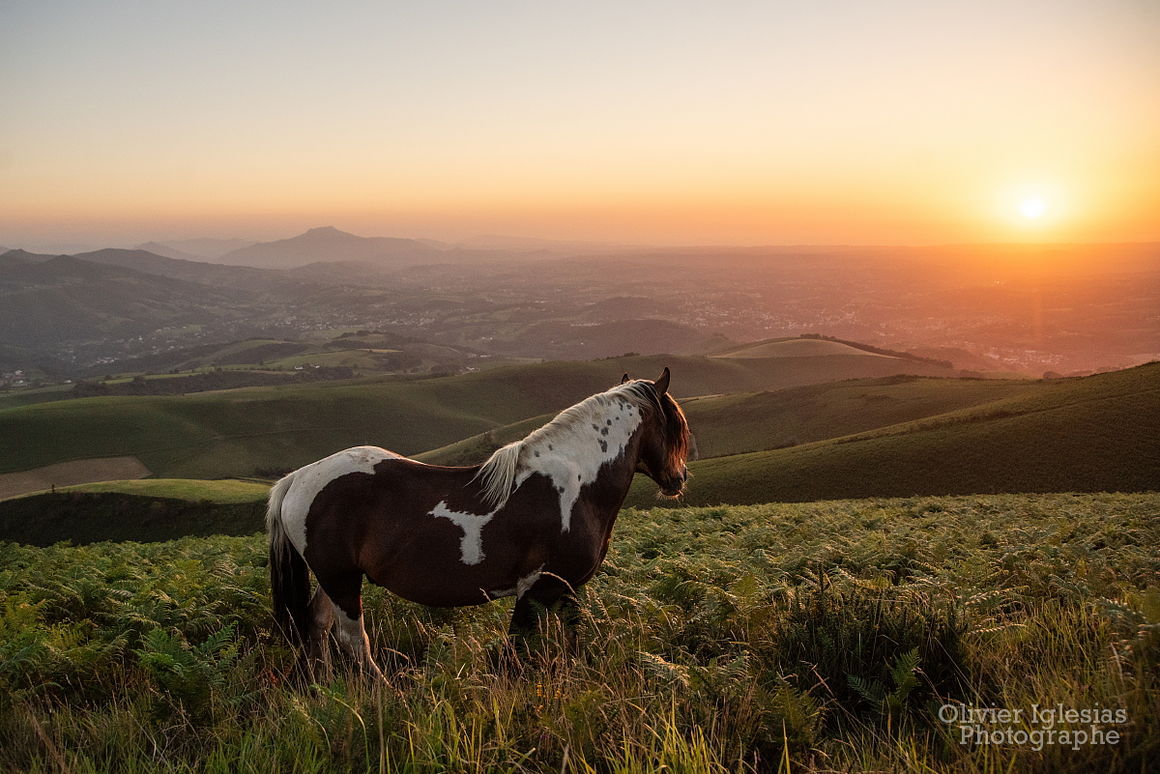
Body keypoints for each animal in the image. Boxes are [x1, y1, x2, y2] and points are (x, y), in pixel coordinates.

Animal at [266, 366, 691, 673]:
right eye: (677, 425)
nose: (679, 478)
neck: (578, 483)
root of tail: (298, 478)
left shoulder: (567, 588)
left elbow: (566, 645)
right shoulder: (537, 588)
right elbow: (515, 652)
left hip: (334, 579)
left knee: (317, 628)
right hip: (341, 581)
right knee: (354, 641)